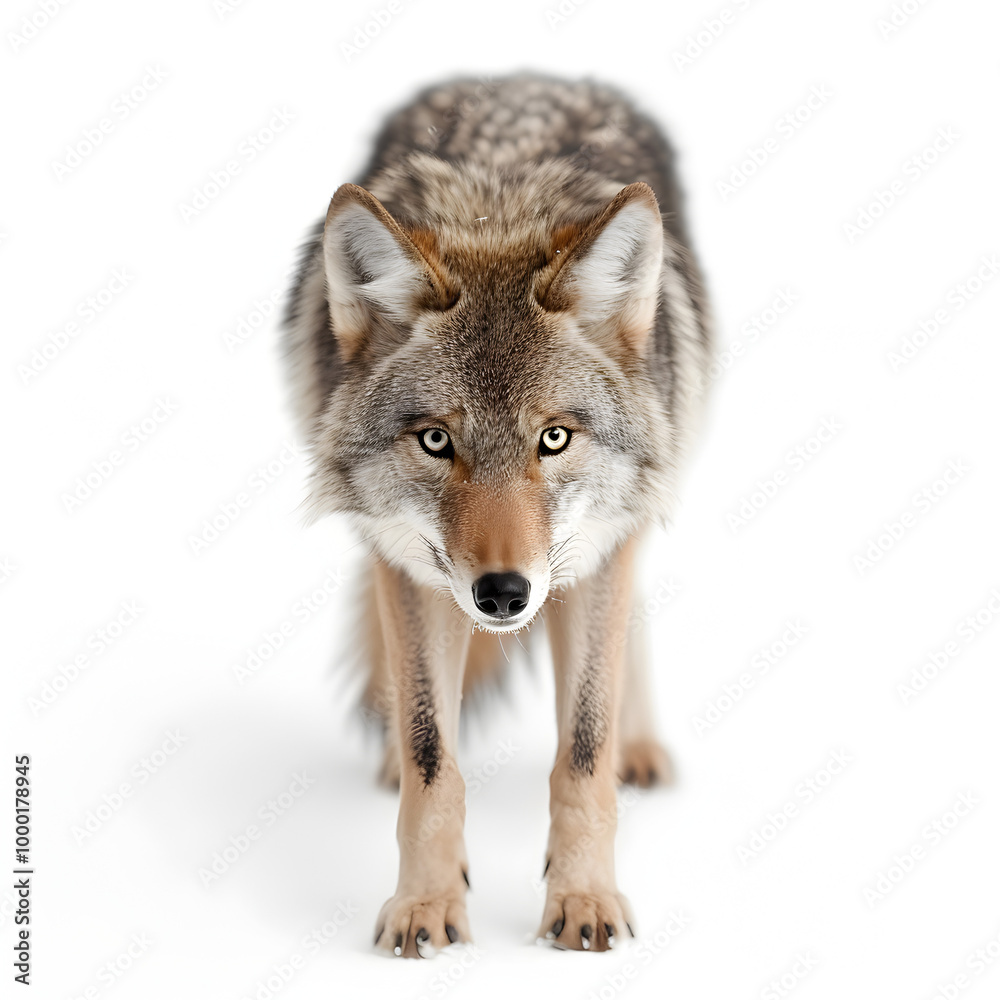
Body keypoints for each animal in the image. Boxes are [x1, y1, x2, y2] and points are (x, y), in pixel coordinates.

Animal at [282, 74, 711, 957]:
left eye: (554, 438)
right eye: (436, 440)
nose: (504, 594)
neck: (499, 209)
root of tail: (527, 77)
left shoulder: (596, 556)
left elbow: (582, 750)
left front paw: (584, 900)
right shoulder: (409, 567)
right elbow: (431, 757)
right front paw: (425, 904)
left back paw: (640, 747)